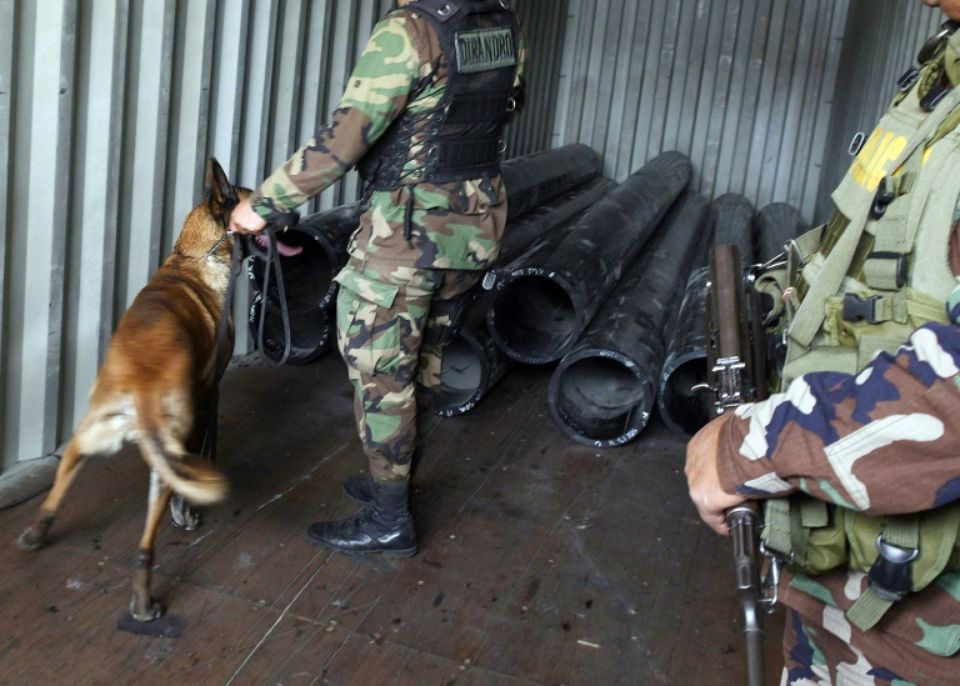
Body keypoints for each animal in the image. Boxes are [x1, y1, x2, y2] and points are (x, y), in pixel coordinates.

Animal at [16, 158, 242, 623]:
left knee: (57, 493)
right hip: (162, 464)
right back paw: (143, 598)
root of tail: (140, 388)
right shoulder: (211, 392)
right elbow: (209, 445)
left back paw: (38, 532)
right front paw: (188, 511)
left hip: (85, 437)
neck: (194, 256)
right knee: (145, 546)